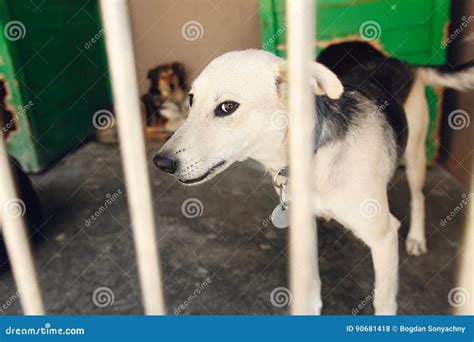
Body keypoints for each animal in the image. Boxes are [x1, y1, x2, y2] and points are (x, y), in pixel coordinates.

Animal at [155, 44, 474, 316]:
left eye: (227, 107)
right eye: (191, 99)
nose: (161, 162)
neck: (315, 155)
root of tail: (398, 60)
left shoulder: (384, 237)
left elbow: (384, 301)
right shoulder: (304, 224)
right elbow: (310, 284)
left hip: (416, 154)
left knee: (418, 196)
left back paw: (416, 238)